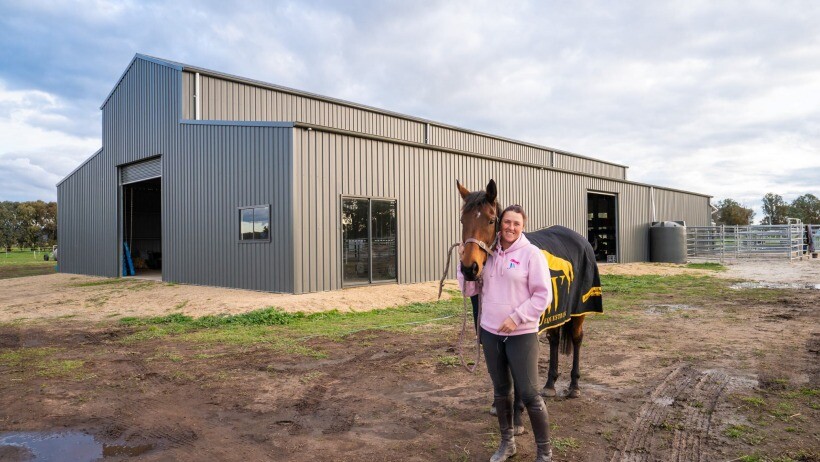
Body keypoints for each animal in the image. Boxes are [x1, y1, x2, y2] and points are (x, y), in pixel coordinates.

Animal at [454, 178, 604, 398]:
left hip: (579, 309)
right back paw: (550, 384)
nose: (468, 269)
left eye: (490, 220)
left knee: (577, 338)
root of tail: (582, 241)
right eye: (463, 221)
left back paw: (574, 385)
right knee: (554, 338)